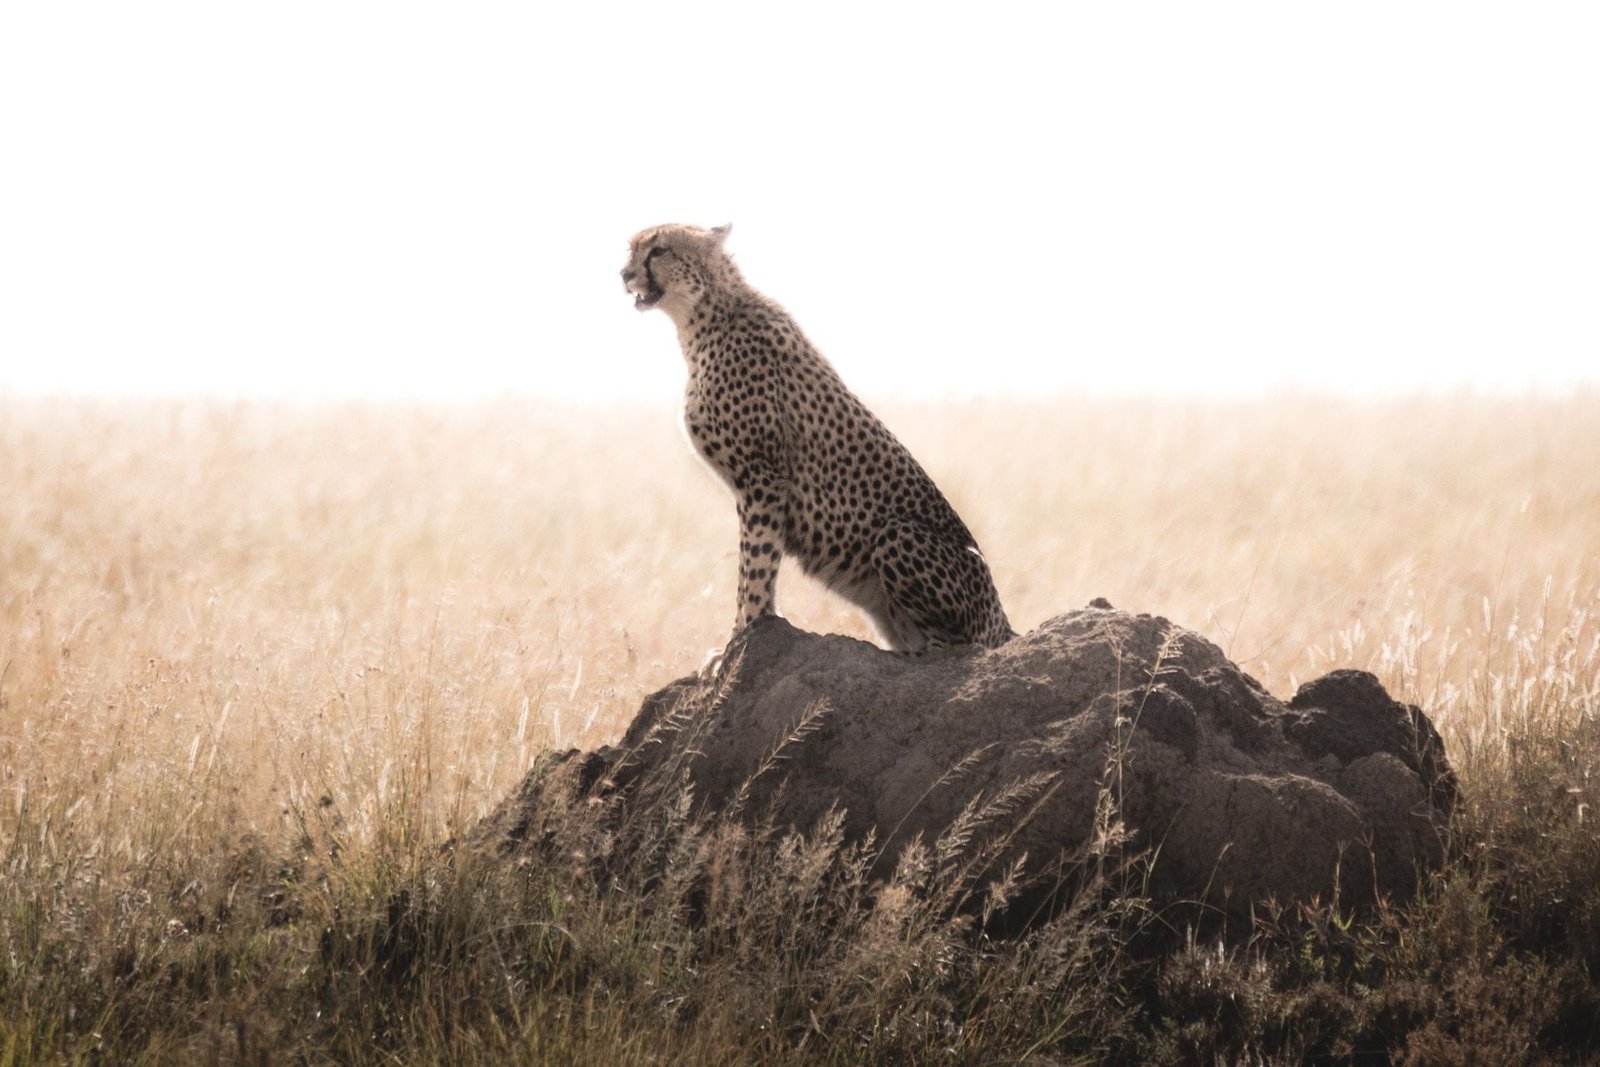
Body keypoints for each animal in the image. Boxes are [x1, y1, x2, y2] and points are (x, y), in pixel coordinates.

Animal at [621, 223, 1015, 654]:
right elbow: (757, 565)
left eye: (659, 251)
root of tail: (1005, 625)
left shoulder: (764, 479)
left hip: (898, 535)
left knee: (957, 648)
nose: (624, 274)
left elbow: (756, 566)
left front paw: (741, 635)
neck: (702, 317)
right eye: (632, 249)